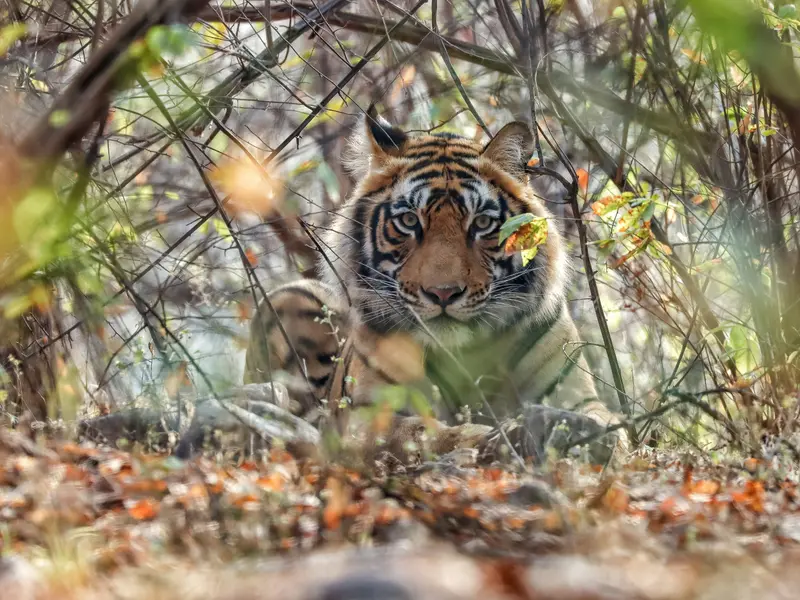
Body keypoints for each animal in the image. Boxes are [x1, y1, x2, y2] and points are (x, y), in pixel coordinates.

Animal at [243, 107, 627, 465]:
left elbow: (610, 425)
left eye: (482, 223)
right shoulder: (365, 416)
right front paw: (492, 438)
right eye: (408, 221)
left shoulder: (576, 395)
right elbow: (423, 433)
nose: (443, 293)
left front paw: (582, 434)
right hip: (291, 296)